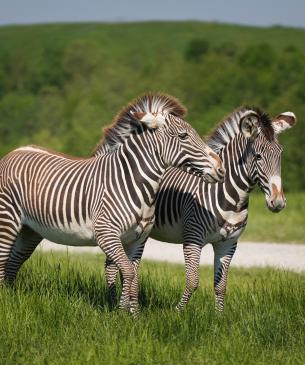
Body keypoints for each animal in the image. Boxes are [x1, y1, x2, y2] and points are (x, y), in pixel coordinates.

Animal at [0, 92, 223, 312]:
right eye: (183, 136)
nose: (221, 169)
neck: (132, 182)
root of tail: (15, 151)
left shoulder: (137, 239)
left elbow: (132, 277)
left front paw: (133, 315)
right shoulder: (106, 234)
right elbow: (128, 273)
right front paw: (122, 313)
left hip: (30, 230)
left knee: (13, 262)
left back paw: (11, 296)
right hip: (8, 219)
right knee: (3, 259)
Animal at [103, 105, 296, 310]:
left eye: (280, 154)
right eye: (258, 156)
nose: (278, 202)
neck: (231, 199)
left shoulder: (228, 243)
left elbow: (221, 286)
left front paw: (219, 315)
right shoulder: (193, 237)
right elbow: (192, 281)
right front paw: (178, 312)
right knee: (110, 265)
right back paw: (112, 302)